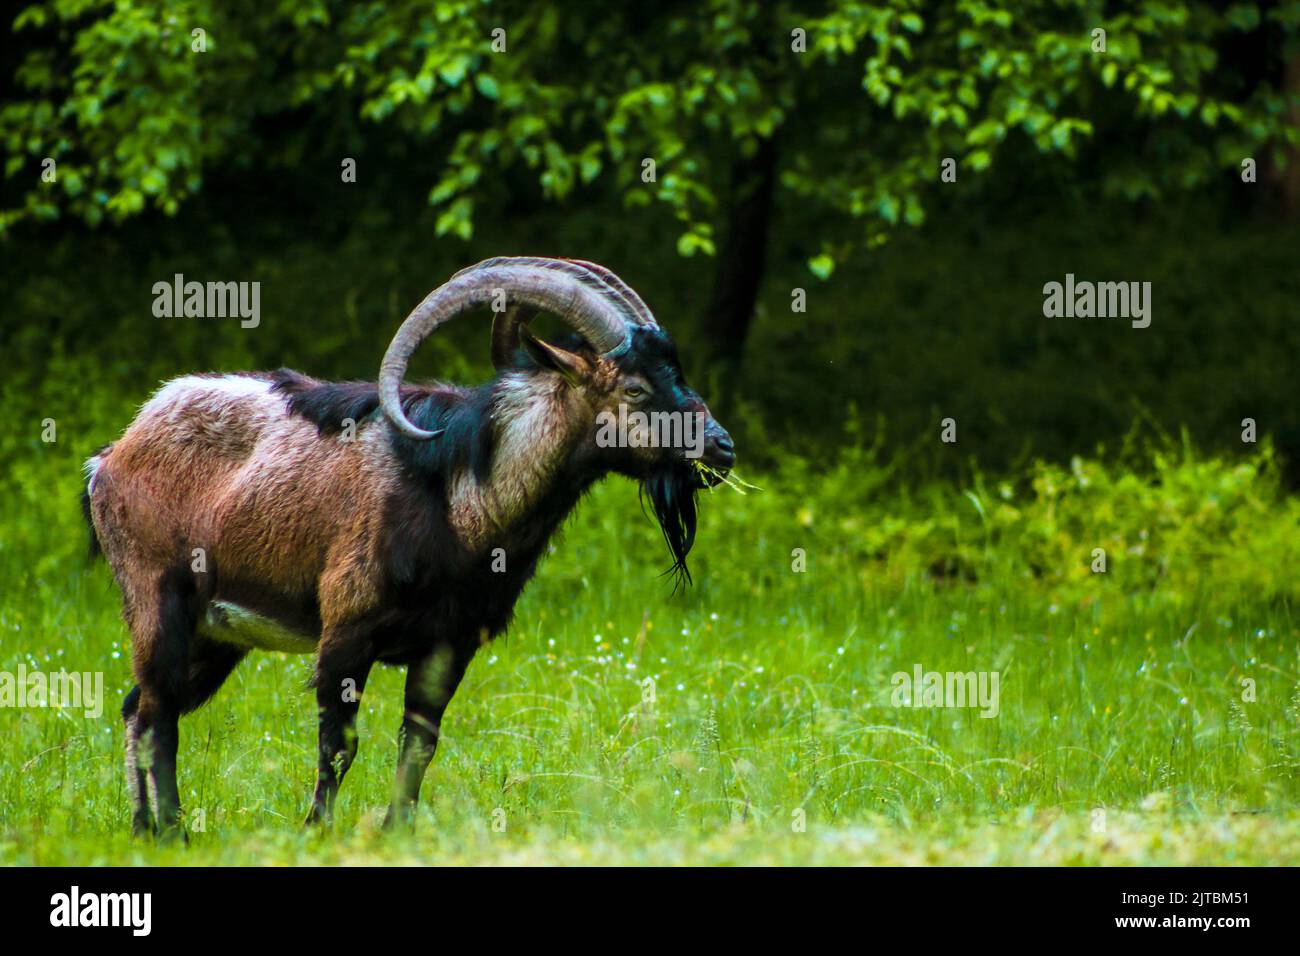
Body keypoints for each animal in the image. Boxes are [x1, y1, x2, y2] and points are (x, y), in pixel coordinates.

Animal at [83, 257, 735, 836]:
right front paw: (316, 831)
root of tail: (110, 457)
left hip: (215, 637)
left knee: (139, 709)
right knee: (158, 718)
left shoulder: (448, 644)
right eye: (635, 387)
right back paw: (171, 832)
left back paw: (144, 828)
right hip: (158, 600)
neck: (459, 493)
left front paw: (397, 830)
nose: (721, 447)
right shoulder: (347, 629)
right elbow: (339, 743)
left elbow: (419, 741)